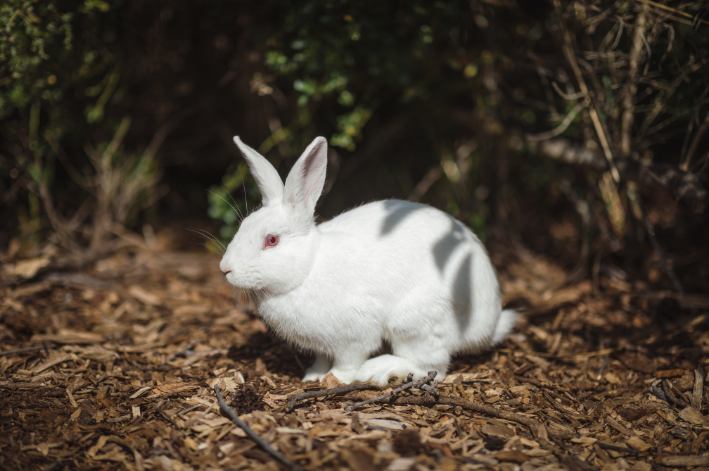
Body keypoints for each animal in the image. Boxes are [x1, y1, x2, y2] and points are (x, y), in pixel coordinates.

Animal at [220, 136, 516, 388]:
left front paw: (334, 378)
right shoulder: (321, 346)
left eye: (271, 240)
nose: (225, 269)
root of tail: (488, 326)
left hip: (415, 324)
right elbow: (321, 359)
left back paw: (380, 369)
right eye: (243, 226)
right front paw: (312, 376)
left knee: (433, 367)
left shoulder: (354, 336)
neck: (308, 269)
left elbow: (347, 361)